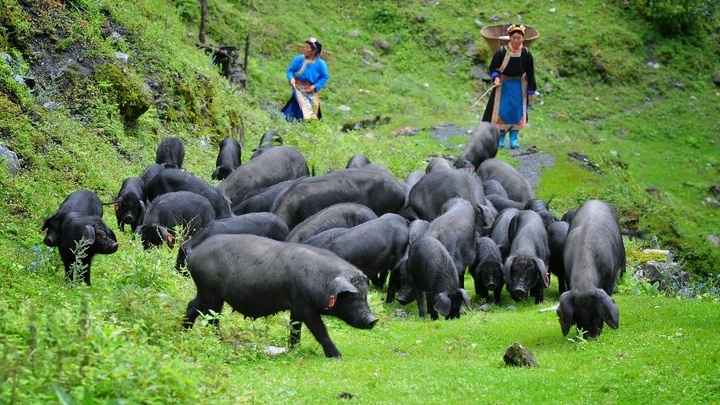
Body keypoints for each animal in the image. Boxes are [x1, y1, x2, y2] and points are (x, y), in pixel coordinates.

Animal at [183, 234, 380, 356]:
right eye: (351, 297)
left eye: (364, 295)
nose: (373, 320)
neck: (323, 280)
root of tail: (193, 254)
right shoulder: (303, 303)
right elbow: (319, 330)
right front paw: (338, 356)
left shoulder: (296, 305)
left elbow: (295, 329)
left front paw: (293, 350)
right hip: (211, 291)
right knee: (211, 317)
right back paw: (220, 341)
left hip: (205, 291)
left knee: (192, 306)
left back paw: (183, 331)